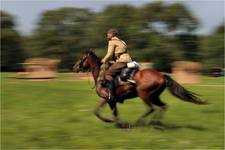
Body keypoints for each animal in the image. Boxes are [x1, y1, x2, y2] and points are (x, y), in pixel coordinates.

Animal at [73, 50, 207, 127]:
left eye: (81, 58)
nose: (75, 67)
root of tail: (162, 75)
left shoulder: (108, 99)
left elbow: (102, 113)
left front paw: (114, 122)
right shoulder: (109, 100)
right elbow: (107, 113)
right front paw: (118, 123)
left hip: (144, 95)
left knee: (151, 108)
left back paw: (140, 122)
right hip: (154, 96)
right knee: (163, 106)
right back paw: (155, 123)